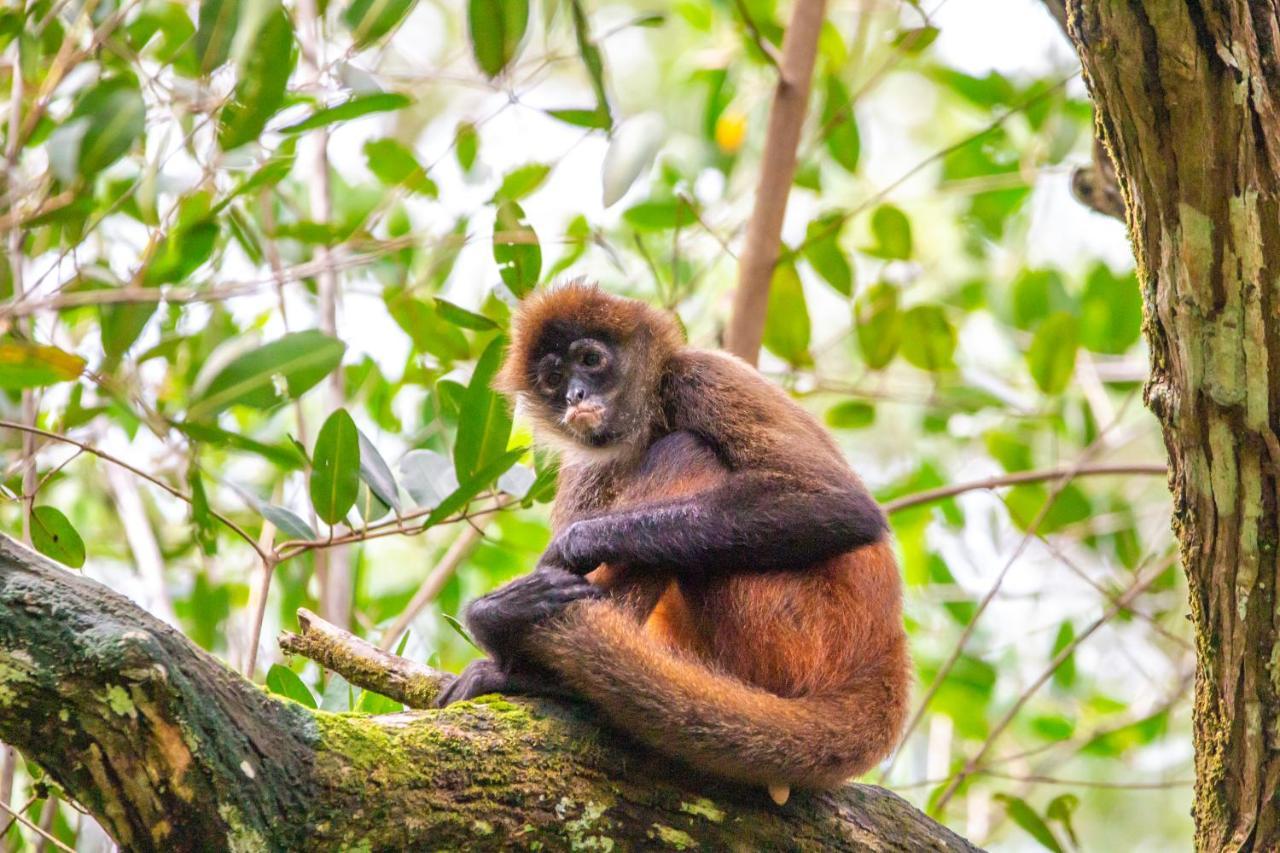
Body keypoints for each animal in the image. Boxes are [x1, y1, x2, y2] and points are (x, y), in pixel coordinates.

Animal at [440, 280, 911, 799]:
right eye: (555, 377)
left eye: (590, 360)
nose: (576, 393)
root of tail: (884, 647)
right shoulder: (587, 461)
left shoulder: (701, 376)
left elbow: (842, 506)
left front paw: (573, 546)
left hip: (802, 631)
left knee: (684, 449)